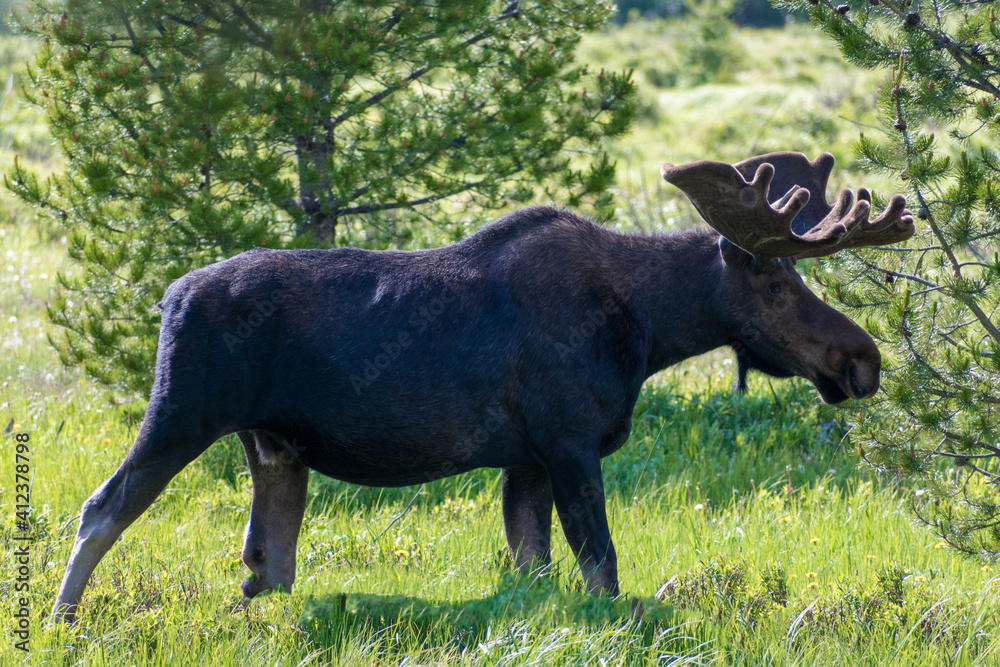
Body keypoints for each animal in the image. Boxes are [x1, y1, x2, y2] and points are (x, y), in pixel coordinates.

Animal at [51, 151, 914, 623]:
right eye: (772, 280)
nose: (861, 358)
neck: (647, 330)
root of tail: (167, 296)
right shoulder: (569, 442)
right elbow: (602, 569)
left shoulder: (524, 458)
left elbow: (535, 570)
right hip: (182, 411)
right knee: (102, 508)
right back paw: (61, 620)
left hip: (274, 446)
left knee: (268, 557)